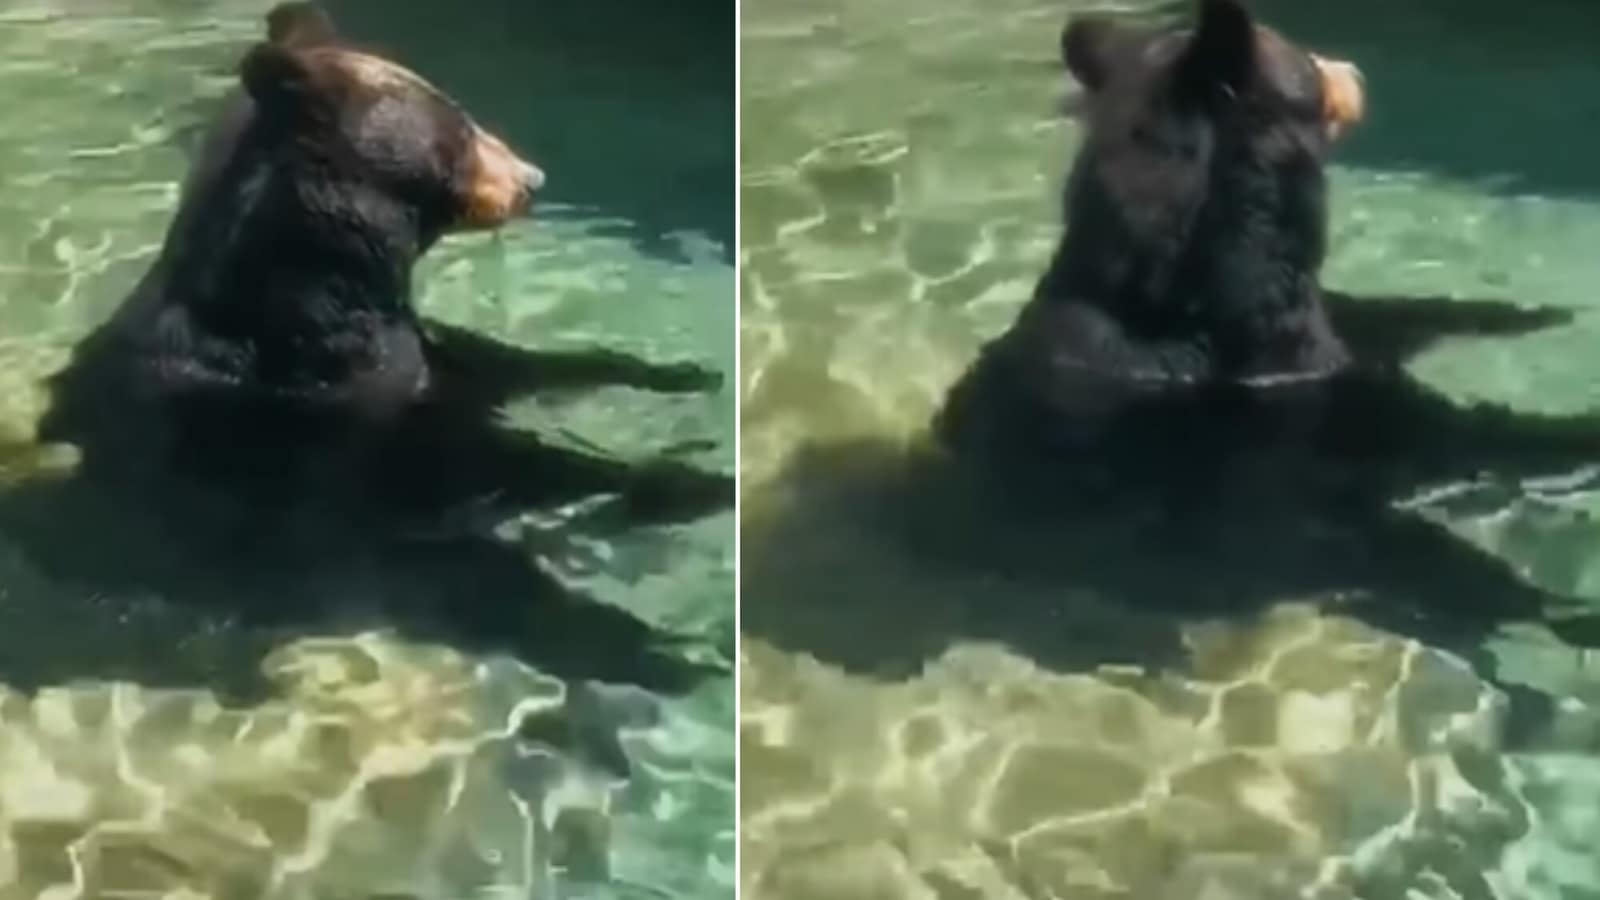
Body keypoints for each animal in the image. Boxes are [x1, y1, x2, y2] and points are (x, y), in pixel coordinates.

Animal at [40, 1, 732, 525]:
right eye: (461, 131)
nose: (532, 179)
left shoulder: (406, 351)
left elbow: (515, 366)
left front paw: (680, 372)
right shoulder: (321, 397)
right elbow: (484, 466)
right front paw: (692, 482)